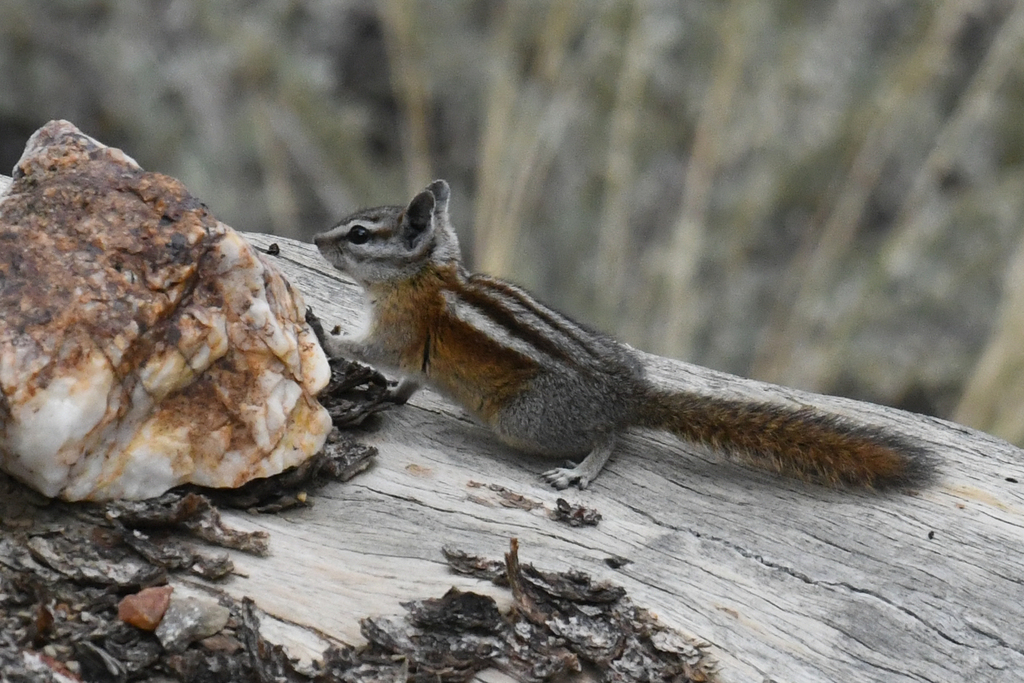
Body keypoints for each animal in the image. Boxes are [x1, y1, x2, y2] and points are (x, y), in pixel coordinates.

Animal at [312, 180, 933, 490]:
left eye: (359, 234)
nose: (316, 238)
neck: (427, 277)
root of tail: (631, 394)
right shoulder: (415, 352)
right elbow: (411, 381)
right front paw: (393, 394)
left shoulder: (400, 333)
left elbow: (372, 350)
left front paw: (322, 331)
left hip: (524, 422)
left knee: (611, 437)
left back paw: (580, 471)